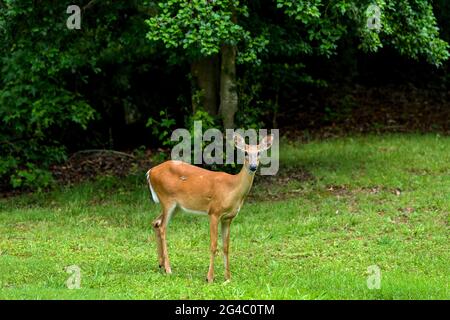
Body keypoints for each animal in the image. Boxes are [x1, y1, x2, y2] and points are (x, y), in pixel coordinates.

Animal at [147, 132, 274, 282]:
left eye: (259, 152)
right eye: (246, 153)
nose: (253, 166)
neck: (232, 189)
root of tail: (150, 172)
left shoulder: (228, 217)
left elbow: (226, 246)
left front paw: (228, 278)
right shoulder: (214, 212)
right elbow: (213, 245)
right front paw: (210, 278)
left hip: (176, 206)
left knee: (155, 222)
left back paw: (160, 264)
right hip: (167, 199)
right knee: (162, 227)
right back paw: (168, 269)